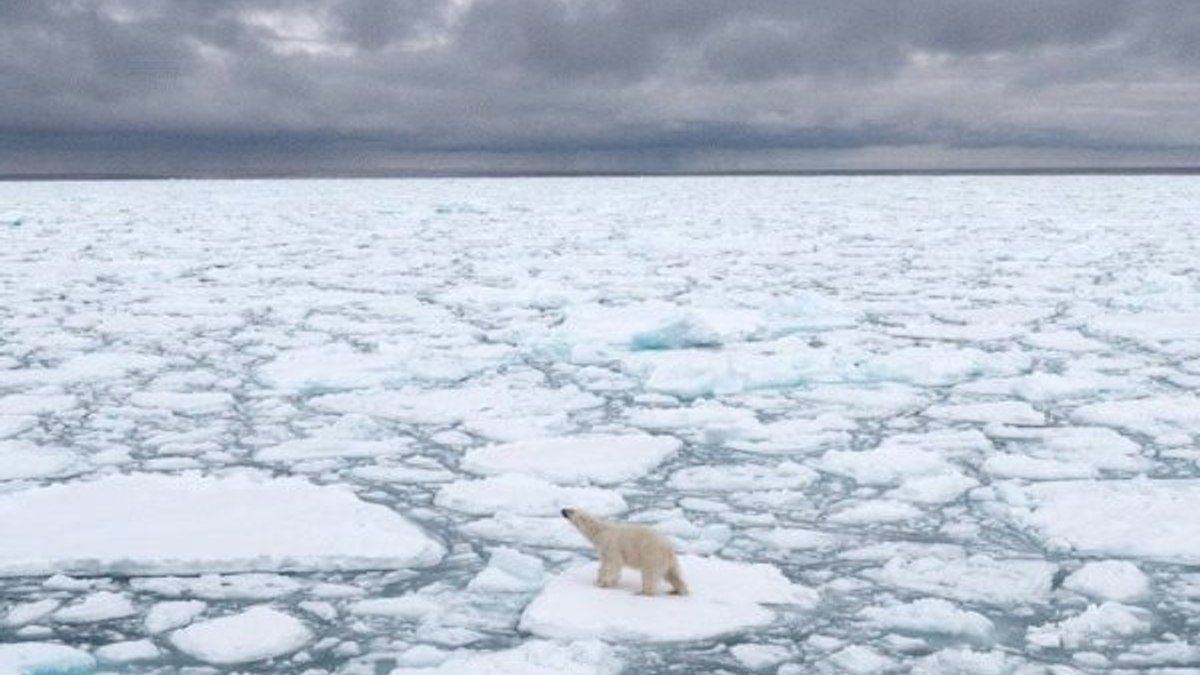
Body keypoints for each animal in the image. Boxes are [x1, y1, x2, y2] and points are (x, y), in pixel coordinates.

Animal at [559, 504, 691, 593]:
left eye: (571, 511)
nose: (562, 510)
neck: (600, 531)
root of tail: (669, 549)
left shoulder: (610, 545)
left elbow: (612, 564)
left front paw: (603, 583)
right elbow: (605, 564)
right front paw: (599, 580)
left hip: (652, 556)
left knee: (650, 575)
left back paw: (643, 592)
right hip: (669, 561)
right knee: (674, 574)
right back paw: (678, 590)